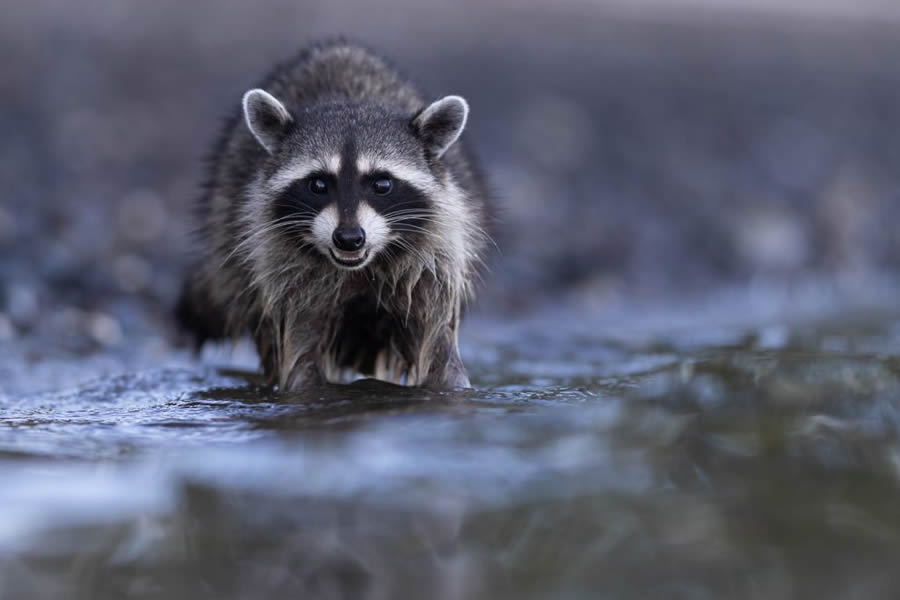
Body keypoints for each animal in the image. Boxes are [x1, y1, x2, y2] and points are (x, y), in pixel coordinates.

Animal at [177, 39, 492, 392]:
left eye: (382, 184)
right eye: (318, 184)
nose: (349, 239)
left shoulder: (435, 263)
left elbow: (437, 344)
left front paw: (450, 385)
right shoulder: (282, 272)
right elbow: (298, 351)